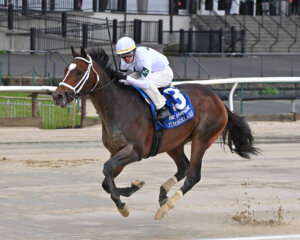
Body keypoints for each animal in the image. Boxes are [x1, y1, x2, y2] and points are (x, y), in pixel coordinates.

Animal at [52, 46, 258, 219]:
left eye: (79, 72)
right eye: (65, 70)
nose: (58, 96)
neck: (118, 104)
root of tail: (218, 101)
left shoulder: (135, 151)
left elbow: (107, 169)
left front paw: (122, 205)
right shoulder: (116, 151)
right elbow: (106, 180)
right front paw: (133, 188)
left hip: (202, 139)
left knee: (193, 175)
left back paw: (166, 206)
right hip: (174, 143)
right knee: (183, 167)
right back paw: (162, 195)